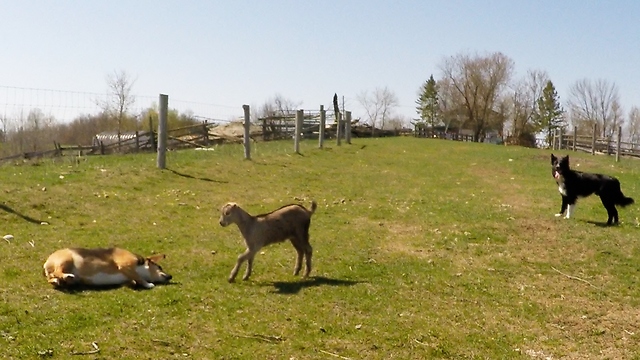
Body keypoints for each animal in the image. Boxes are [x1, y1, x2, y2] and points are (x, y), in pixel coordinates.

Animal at [42, 248, 172, 290]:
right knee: (57, 272)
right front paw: (148, 284)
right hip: (66, 260)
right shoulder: (125, 265)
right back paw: (66, 276)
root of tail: (47, 262)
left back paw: (58, 281)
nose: (170, 276)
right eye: (159, 267)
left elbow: (134, 280)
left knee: (52, 277)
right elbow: (139, 277)